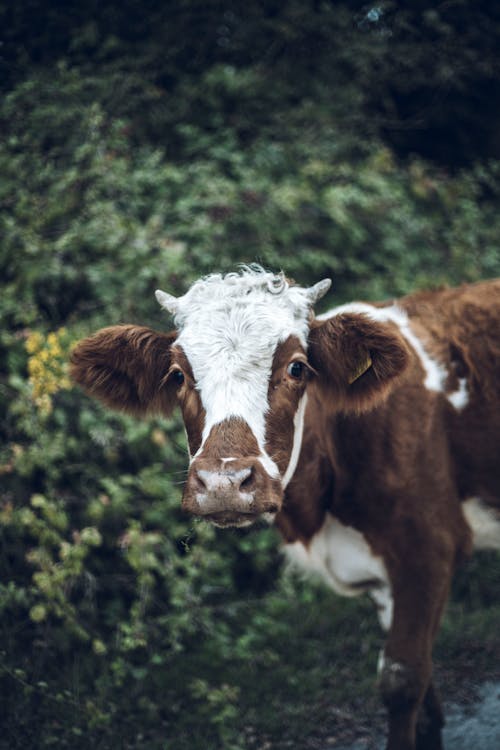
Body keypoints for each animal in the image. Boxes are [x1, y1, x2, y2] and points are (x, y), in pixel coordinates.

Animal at [70, 268, 500, 748]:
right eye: (178, 375)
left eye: (297, 367)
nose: (223, 484)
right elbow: (425, 702)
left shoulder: (428, 550)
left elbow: (403, 679)